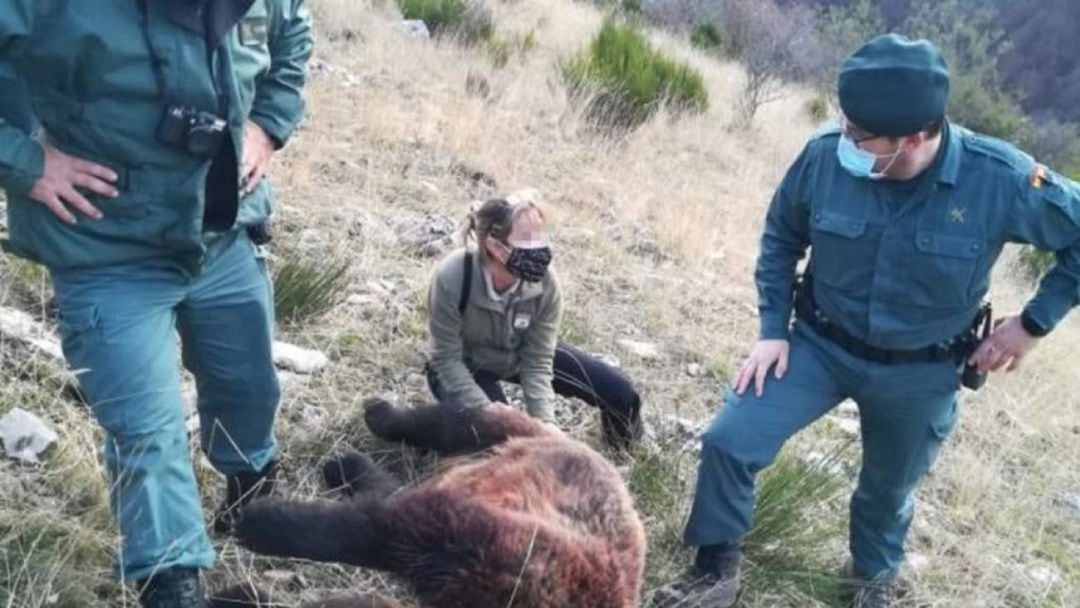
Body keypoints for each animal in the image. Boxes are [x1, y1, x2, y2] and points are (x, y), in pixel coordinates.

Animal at [227, 399, 643, 608]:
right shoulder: (476, 534)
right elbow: (367, 529)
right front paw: (261, 521)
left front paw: (243, 592)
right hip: (505, 435)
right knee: (451, 423)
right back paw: (379, 416)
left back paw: (347, 466)